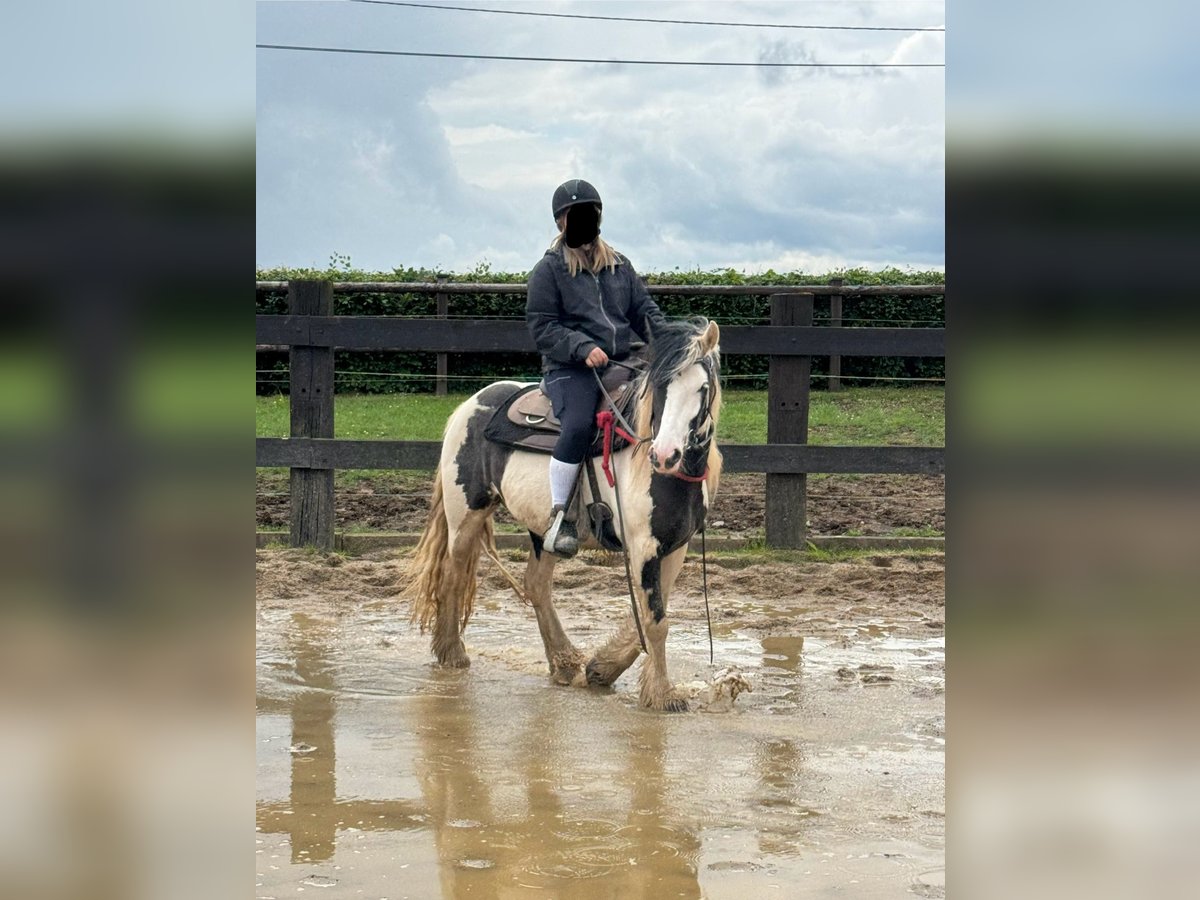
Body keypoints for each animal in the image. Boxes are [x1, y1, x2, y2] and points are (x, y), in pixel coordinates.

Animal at [403, 316, 720, 710]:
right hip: (466, 516)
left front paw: (602, 669)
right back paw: (453, 654)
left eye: (702, 388)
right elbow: (655, 622)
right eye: (661, 386)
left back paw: (565, 662)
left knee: (536, 586)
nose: (665, 455)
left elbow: (649, 617)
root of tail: (471, 404)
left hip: (544, 531)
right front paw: (663, 694)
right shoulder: (643, 547)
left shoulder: (674, 547)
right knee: (453, 575)